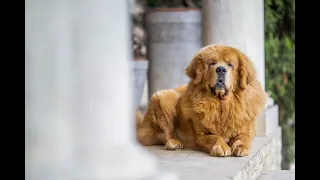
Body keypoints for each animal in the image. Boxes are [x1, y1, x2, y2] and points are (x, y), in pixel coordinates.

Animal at [136, 44, 266, 157]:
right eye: (212, 63)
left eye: (230, 65)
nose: (221, 69)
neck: (221, 105)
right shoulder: (202, 134)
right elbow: (215, 137)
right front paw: (221, 146)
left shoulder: (244, 130)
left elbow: (243, 138)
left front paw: (240, 147)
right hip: (164, 98)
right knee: (166, 133)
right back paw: (174, 142)